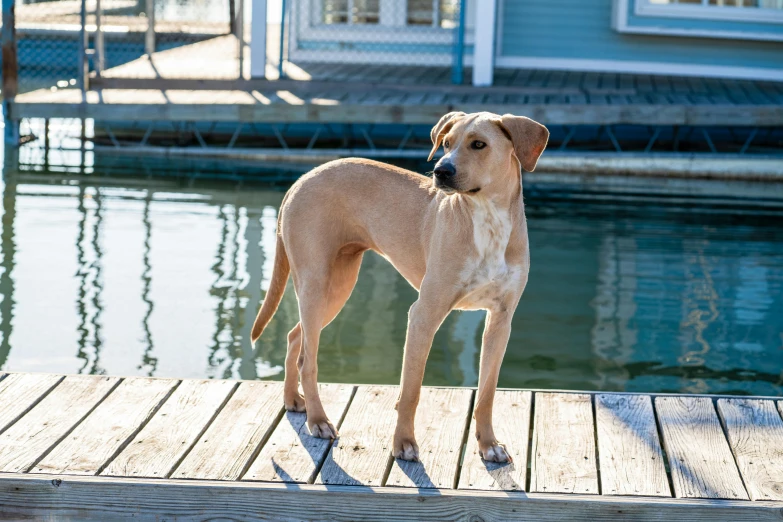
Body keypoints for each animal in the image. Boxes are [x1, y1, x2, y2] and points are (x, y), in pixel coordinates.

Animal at [251, 109, 552, 460]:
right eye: (446, 143)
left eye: (479, 144)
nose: (441, 170)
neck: (487, 220)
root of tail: (303, 178)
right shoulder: (424, 313)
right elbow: (411, 390)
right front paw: (403, 443)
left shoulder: (501, 320)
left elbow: (487, 393)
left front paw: (488, 444)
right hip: (316, 283)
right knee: (307, 360)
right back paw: (318, 420)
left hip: (336, 288)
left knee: (294, 337)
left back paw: (292, 400)